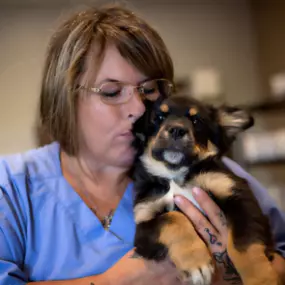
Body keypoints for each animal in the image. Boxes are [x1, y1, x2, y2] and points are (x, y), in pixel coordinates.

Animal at [131, 96, 280, 284]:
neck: (175, 174)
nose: (177, 130)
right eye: (159, 117)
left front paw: (261, 279)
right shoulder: (143, 223)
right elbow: (173, 218)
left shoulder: (239, 197)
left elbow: (244, 246)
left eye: (197, 121)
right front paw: (196, 263)